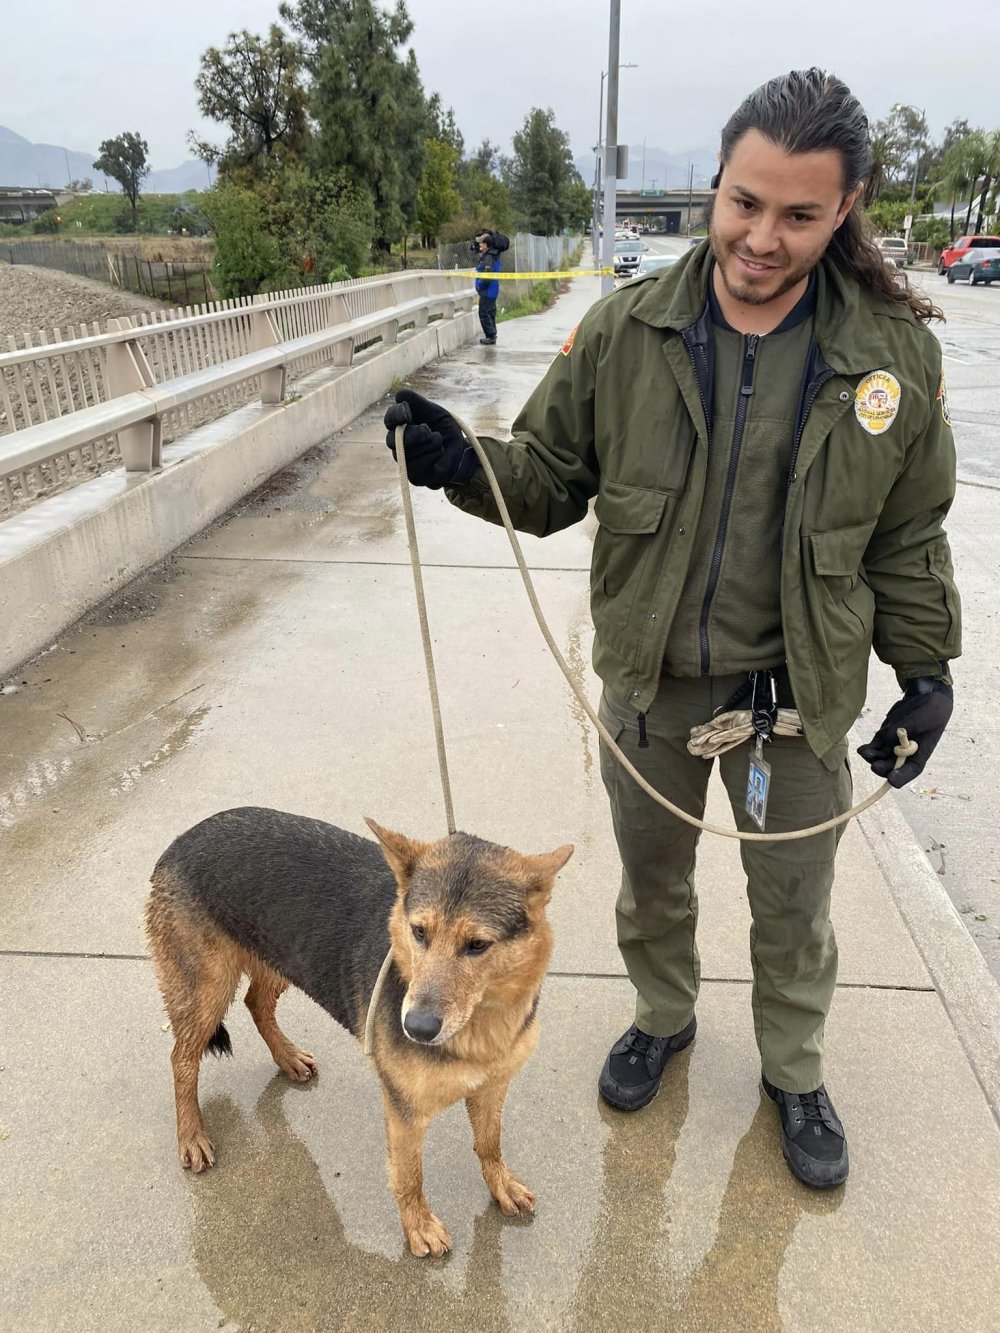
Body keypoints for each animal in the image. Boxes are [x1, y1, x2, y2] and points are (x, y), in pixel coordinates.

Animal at [144, 805, 576, 1253]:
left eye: (477, 945)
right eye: (419, 932)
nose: (415, 1028)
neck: (480, 1023)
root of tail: (184, 838)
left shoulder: (492, 1087)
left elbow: (490, 1144)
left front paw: (500, 1184)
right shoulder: (404, 1112)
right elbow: (409, 1175)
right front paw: (418, 1225)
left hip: (281, 958)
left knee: (256, 1004)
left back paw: (287, 1057)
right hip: (206, 990)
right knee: (182, 1058)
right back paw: (191, 1134)